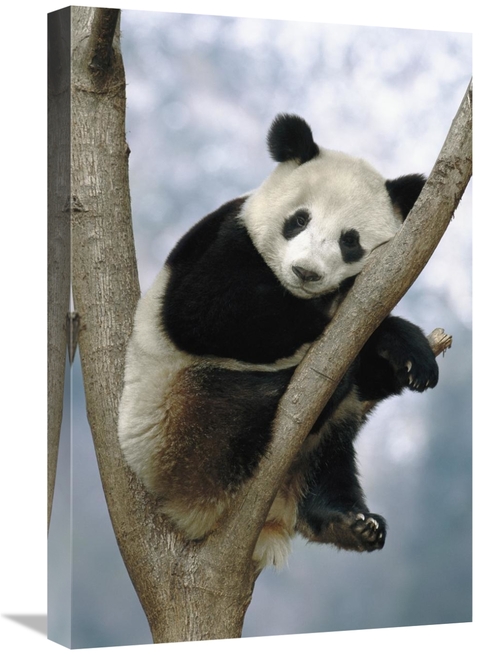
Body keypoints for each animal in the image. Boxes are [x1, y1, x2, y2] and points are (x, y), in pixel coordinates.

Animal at [118, 113, 439, 570]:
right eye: (299, 220)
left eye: (350, 239)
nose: (307, 273)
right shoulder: (227, 239)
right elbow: (204, 313)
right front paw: (333, 303)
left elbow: (377, 357)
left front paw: (411, 355)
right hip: (180, 419)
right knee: (241, 409)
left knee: (332, 459)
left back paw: (350, 523)